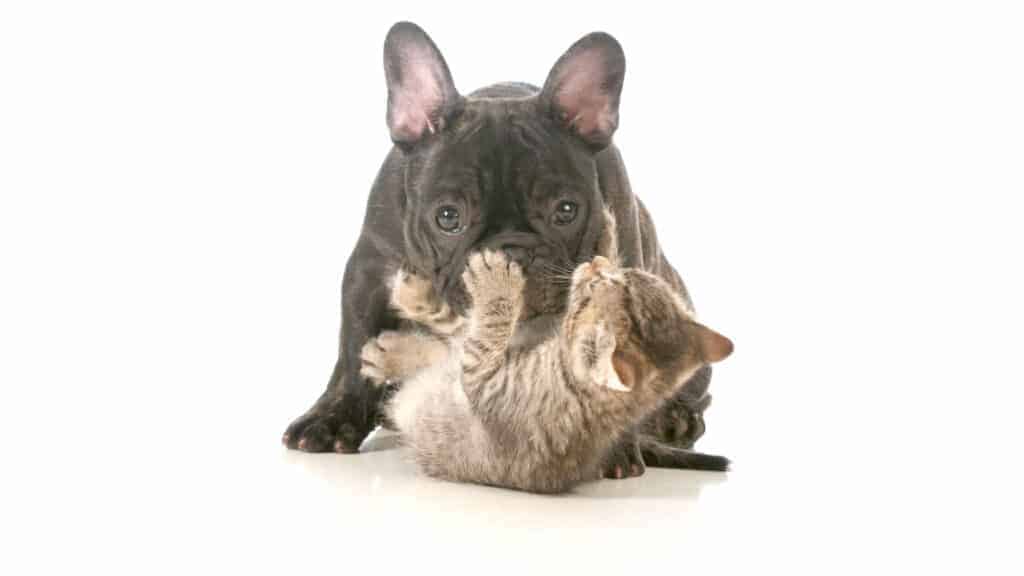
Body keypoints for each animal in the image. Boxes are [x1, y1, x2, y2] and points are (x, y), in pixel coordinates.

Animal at [280, 22, 712, 475]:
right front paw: (332, 418)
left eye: (566, 210)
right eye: (447, 217)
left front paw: (610, 444)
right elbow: (353, 346)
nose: (512, 254)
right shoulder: (370, 269)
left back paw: (675, 418)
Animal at [364, 249, 733, 491]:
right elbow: (460, 328)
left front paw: (494, 284)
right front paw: (418, 301)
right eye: (630, 275)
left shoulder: (485, 383)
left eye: (596, 287)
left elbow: (482, 334)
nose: (597, 260)